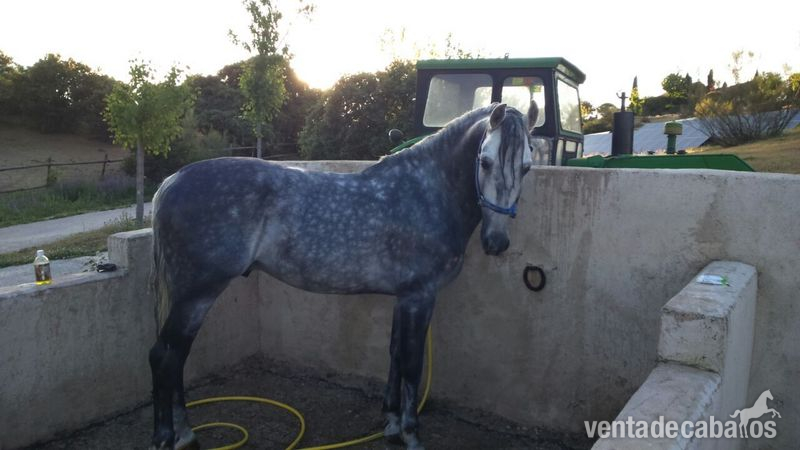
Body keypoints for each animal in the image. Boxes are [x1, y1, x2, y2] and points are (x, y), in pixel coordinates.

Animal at [148, 101, 538, 450]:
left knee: (173, 356)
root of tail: (172, 180)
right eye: (485, 161)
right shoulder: (420, 296)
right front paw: (411, 433)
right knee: (165, 357)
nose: (496, 242)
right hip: (196, 295)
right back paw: (169, 437)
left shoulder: (403, 298)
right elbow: (412, 363)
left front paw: (391, 424)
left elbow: (395, 354)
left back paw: (185, 435)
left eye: (527, 167)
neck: (427, 192)